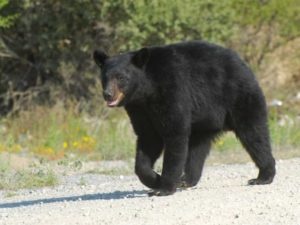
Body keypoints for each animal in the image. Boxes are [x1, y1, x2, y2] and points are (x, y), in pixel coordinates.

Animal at [94, 41, 276, 196]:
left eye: (121, 78)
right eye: (104, 77)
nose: (108, 94)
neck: (146, 91)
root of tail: (243, 62)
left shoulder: (171, 90)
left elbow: (175, 133)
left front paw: (164, 188)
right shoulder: (139, 110)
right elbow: (147, 139)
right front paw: (155, 179)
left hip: (239, 97)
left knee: (254, 134)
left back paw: (263, 176)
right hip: (204, 121)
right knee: (197, 148)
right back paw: (186, 180)